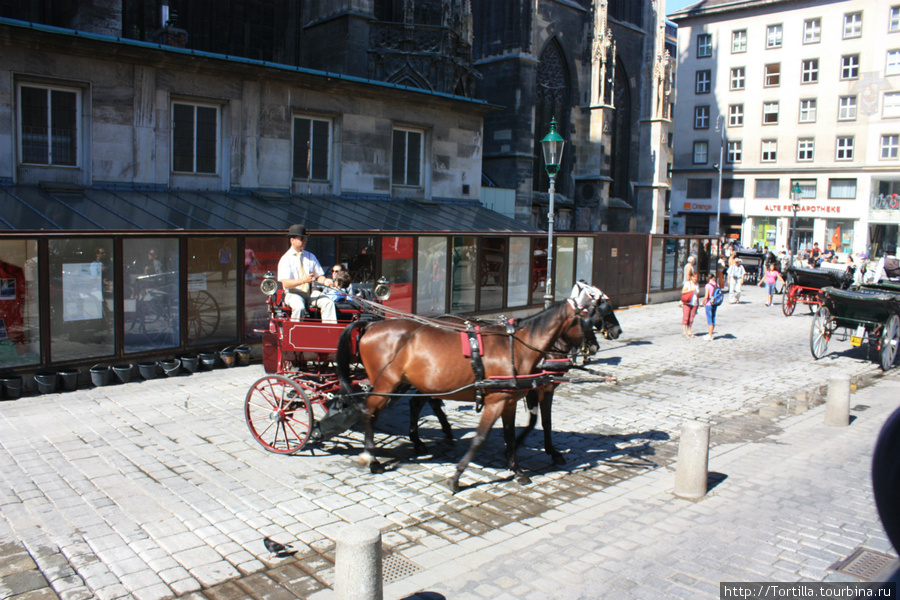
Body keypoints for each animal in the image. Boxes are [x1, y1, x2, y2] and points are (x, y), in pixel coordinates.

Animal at [336, 300, 576, 492]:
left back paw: (418, 441)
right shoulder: (516, 396)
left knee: (399, 408)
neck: (516, 346)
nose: (579, 353)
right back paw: (373, 459)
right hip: (386, 384)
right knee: (369, 412)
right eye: (583, 320)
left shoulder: (515, 398)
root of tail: (371, 325)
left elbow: (523, 427)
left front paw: (518, 461)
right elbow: (534, 423)